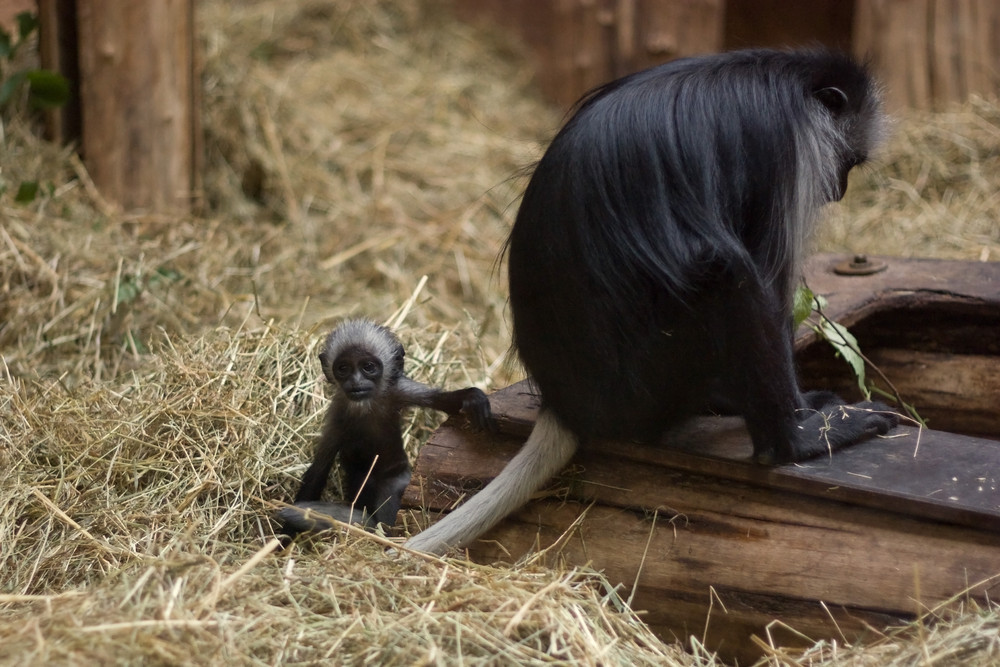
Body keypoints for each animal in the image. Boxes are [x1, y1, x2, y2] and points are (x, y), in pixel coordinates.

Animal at [280, 320, 490, 536]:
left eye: (368, 367)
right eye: (343, 368)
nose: (356, 382)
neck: (366, 405)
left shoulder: (398, 389)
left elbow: (442, 401)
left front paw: (471, 397)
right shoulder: (337, 415)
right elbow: (320, 468)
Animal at [404, 49, 900, 556]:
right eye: (848, 161)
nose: (838, 188)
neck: (785, 78)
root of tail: (564, 403)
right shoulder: (788, 148)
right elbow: (766, 275)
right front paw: (803, 419)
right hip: (646, 381)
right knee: (726, 270)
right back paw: (787, 444)